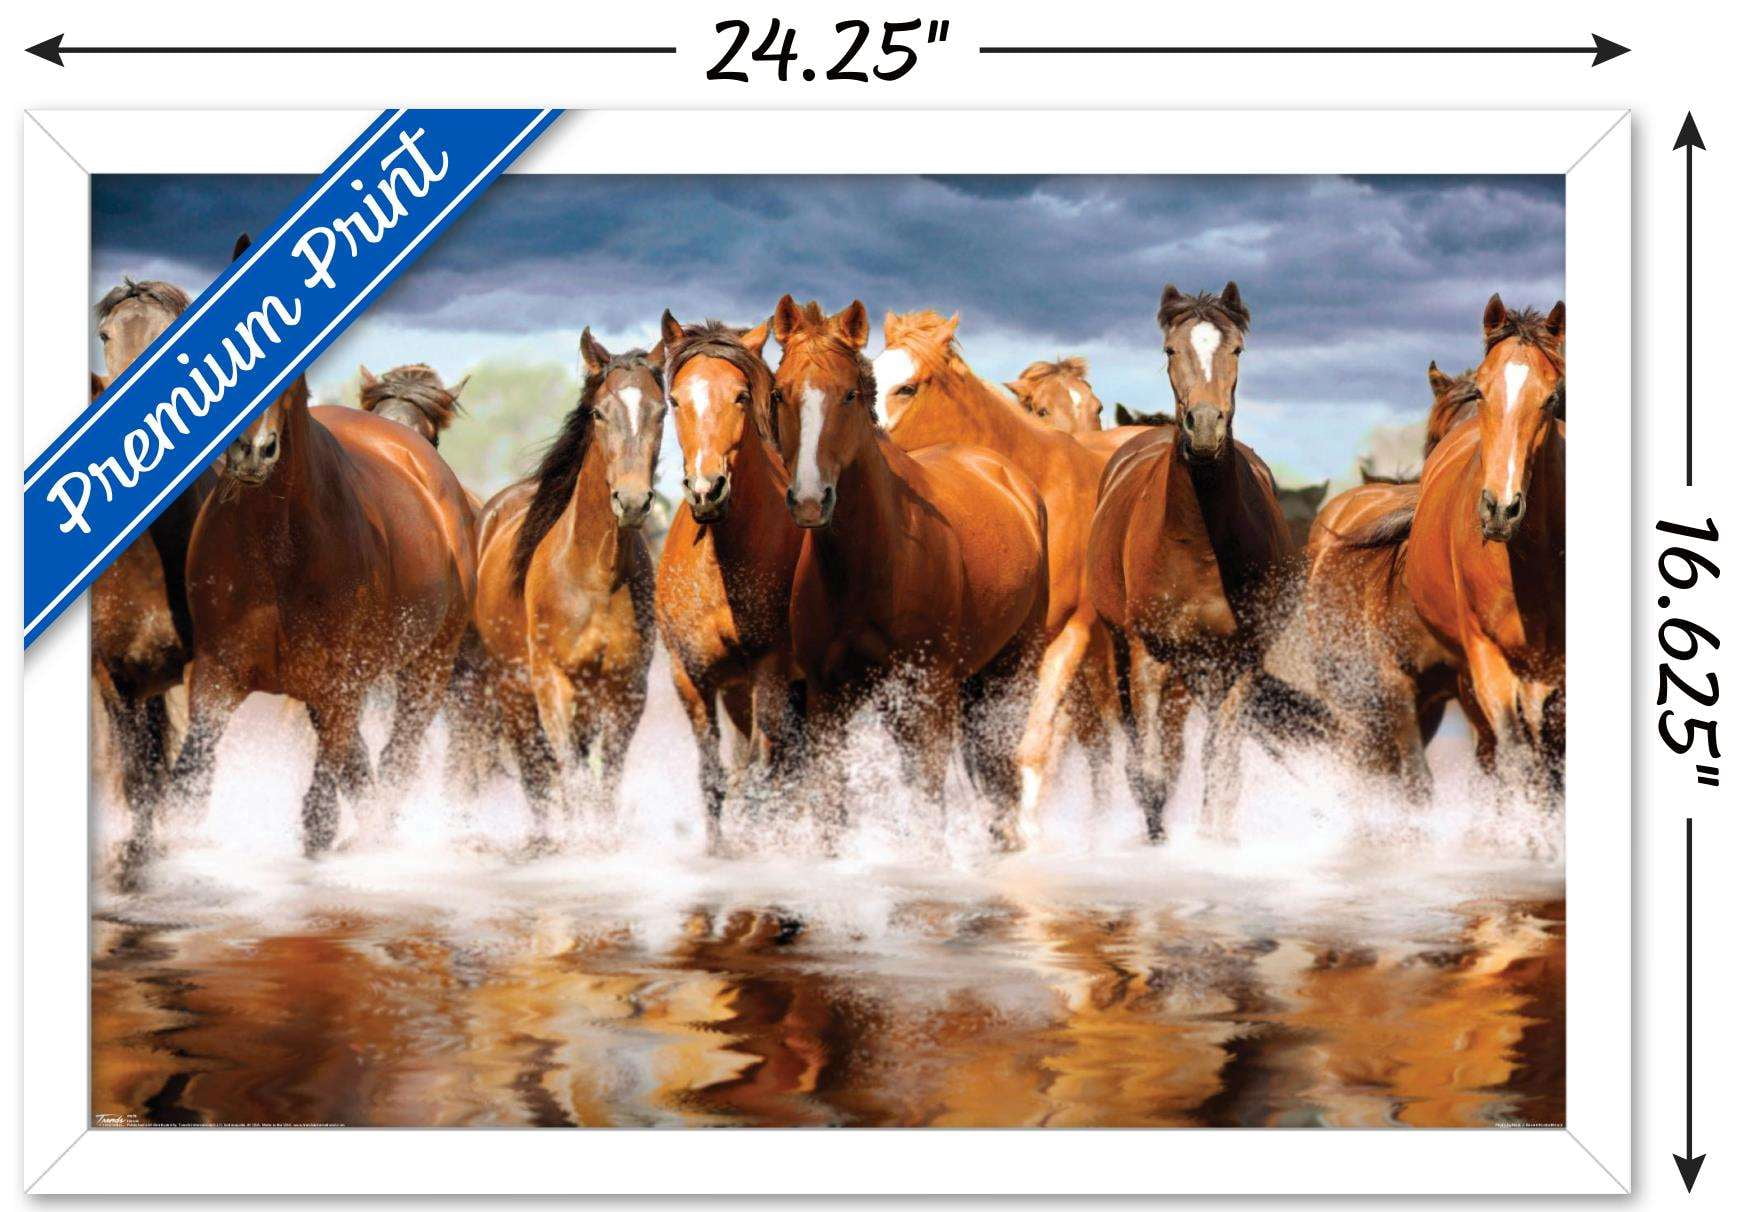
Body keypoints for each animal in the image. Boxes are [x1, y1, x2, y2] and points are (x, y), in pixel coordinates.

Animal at [155, 372, 477, 865]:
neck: (277, 543)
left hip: (430, 665)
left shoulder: (339, 682)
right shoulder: (217, 673)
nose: (252, 450)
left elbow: (321, 811)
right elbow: (189, 789)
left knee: (397, 755)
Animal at [472, 330, 665, 837]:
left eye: (661, 410)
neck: (596, 574)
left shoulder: (625, 690)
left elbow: (604, 785)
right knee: (536, 774)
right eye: (600, 412)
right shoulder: (552, 684)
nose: (632, 501)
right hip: (513, 690)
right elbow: (571, 780)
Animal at [652, 312, 805, 852]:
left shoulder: (771, 672)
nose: (706, 489)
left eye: (740, 395)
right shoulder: (691, 676)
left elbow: (761, 773)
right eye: (676, 399)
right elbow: (714, 777)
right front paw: (719, 851)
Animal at [770, 297, 1050, 850]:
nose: (810, 500)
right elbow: (831, 808)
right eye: (779, 392)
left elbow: (927, 809)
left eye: (850, 394)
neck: (873, 562)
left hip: (1010, 670)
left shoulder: (928, 698)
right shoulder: (827, 699)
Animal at [1086, 282, 1325, 841]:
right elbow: (1152, 769)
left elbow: (1223, 766)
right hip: (1124, 652)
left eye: (1237, 349)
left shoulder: (1237, 662)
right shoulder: (1148, 655)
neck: (1197, 544)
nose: (1205, 428)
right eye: (1170, 350)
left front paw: (1215, 840)